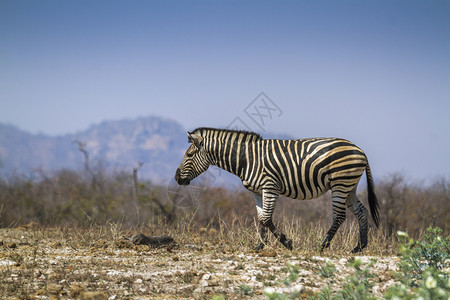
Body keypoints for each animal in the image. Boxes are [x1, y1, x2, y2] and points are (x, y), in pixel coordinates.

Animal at [174, 126, 378, 253]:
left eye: (189, 154)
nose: (176, 178)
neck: (246, 159)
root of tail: (360, 150)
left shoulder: (270, 186)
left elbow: (266, 217)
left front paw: (286, 242)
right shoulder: (257, 191)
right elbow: (261, 217)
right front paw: (259, 246)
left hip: (340, 183)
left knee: (340, 216)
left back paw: (322, 246)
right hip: (349, 186)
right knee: (361, 211)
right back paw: (359, 247)